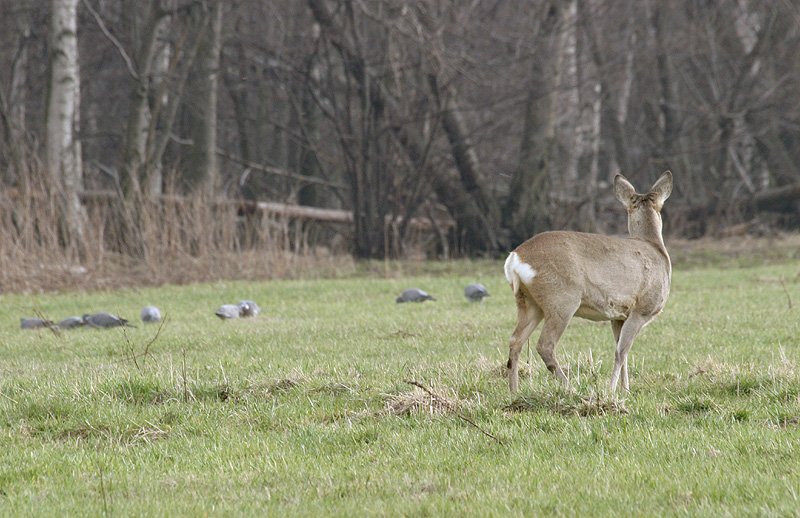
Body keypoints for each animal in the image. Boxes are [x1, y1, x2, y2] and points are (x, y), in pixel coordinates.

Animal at [504, 172, 672, 394]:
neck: (656, 248)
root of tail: (515, 258)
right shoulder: (642, 308)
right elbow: (621, 351)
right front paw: (611, 389)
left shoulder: (618, 316)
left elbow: (622, 352)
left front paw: (624, 389)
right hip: (562, 298)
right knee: (545, 345)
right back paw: (570, 388)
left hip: (528, 302)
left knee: (516, 340)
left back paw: (514, 391)